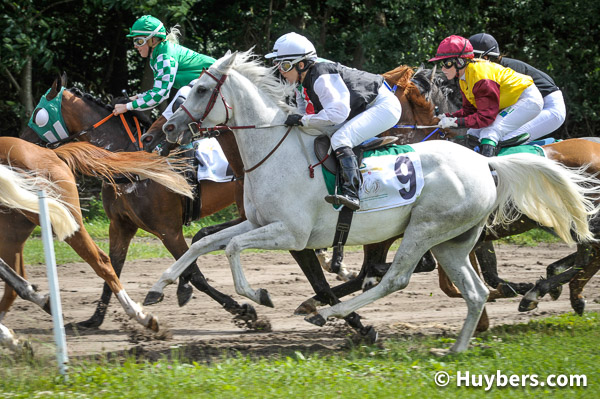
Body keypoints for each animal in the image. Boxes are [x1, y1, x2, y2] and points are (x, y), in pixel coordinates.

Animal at [18, 76, 258, 332]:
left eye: (38, 114)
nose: (22, 141)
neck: (129, 165)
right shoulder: (121, 226)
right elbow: (111, 269)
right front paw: (95, 319)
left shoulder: (169, 230)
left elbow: (195, 274)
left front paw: (241, 309)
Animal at [149, 51, 596, 354]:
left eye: (199, 90)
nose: (166, 129)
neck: (273, 152)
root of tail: (485, 162)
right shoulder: (258, 223)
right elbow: (205, 243)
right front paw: (158, 288)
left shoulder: (291, 234)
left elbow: (235, 250)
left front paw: (258, 297)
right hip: (453, 241)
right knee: (475, 291)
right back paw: (456, 347)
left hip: (423, 232)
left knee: (394, 279)